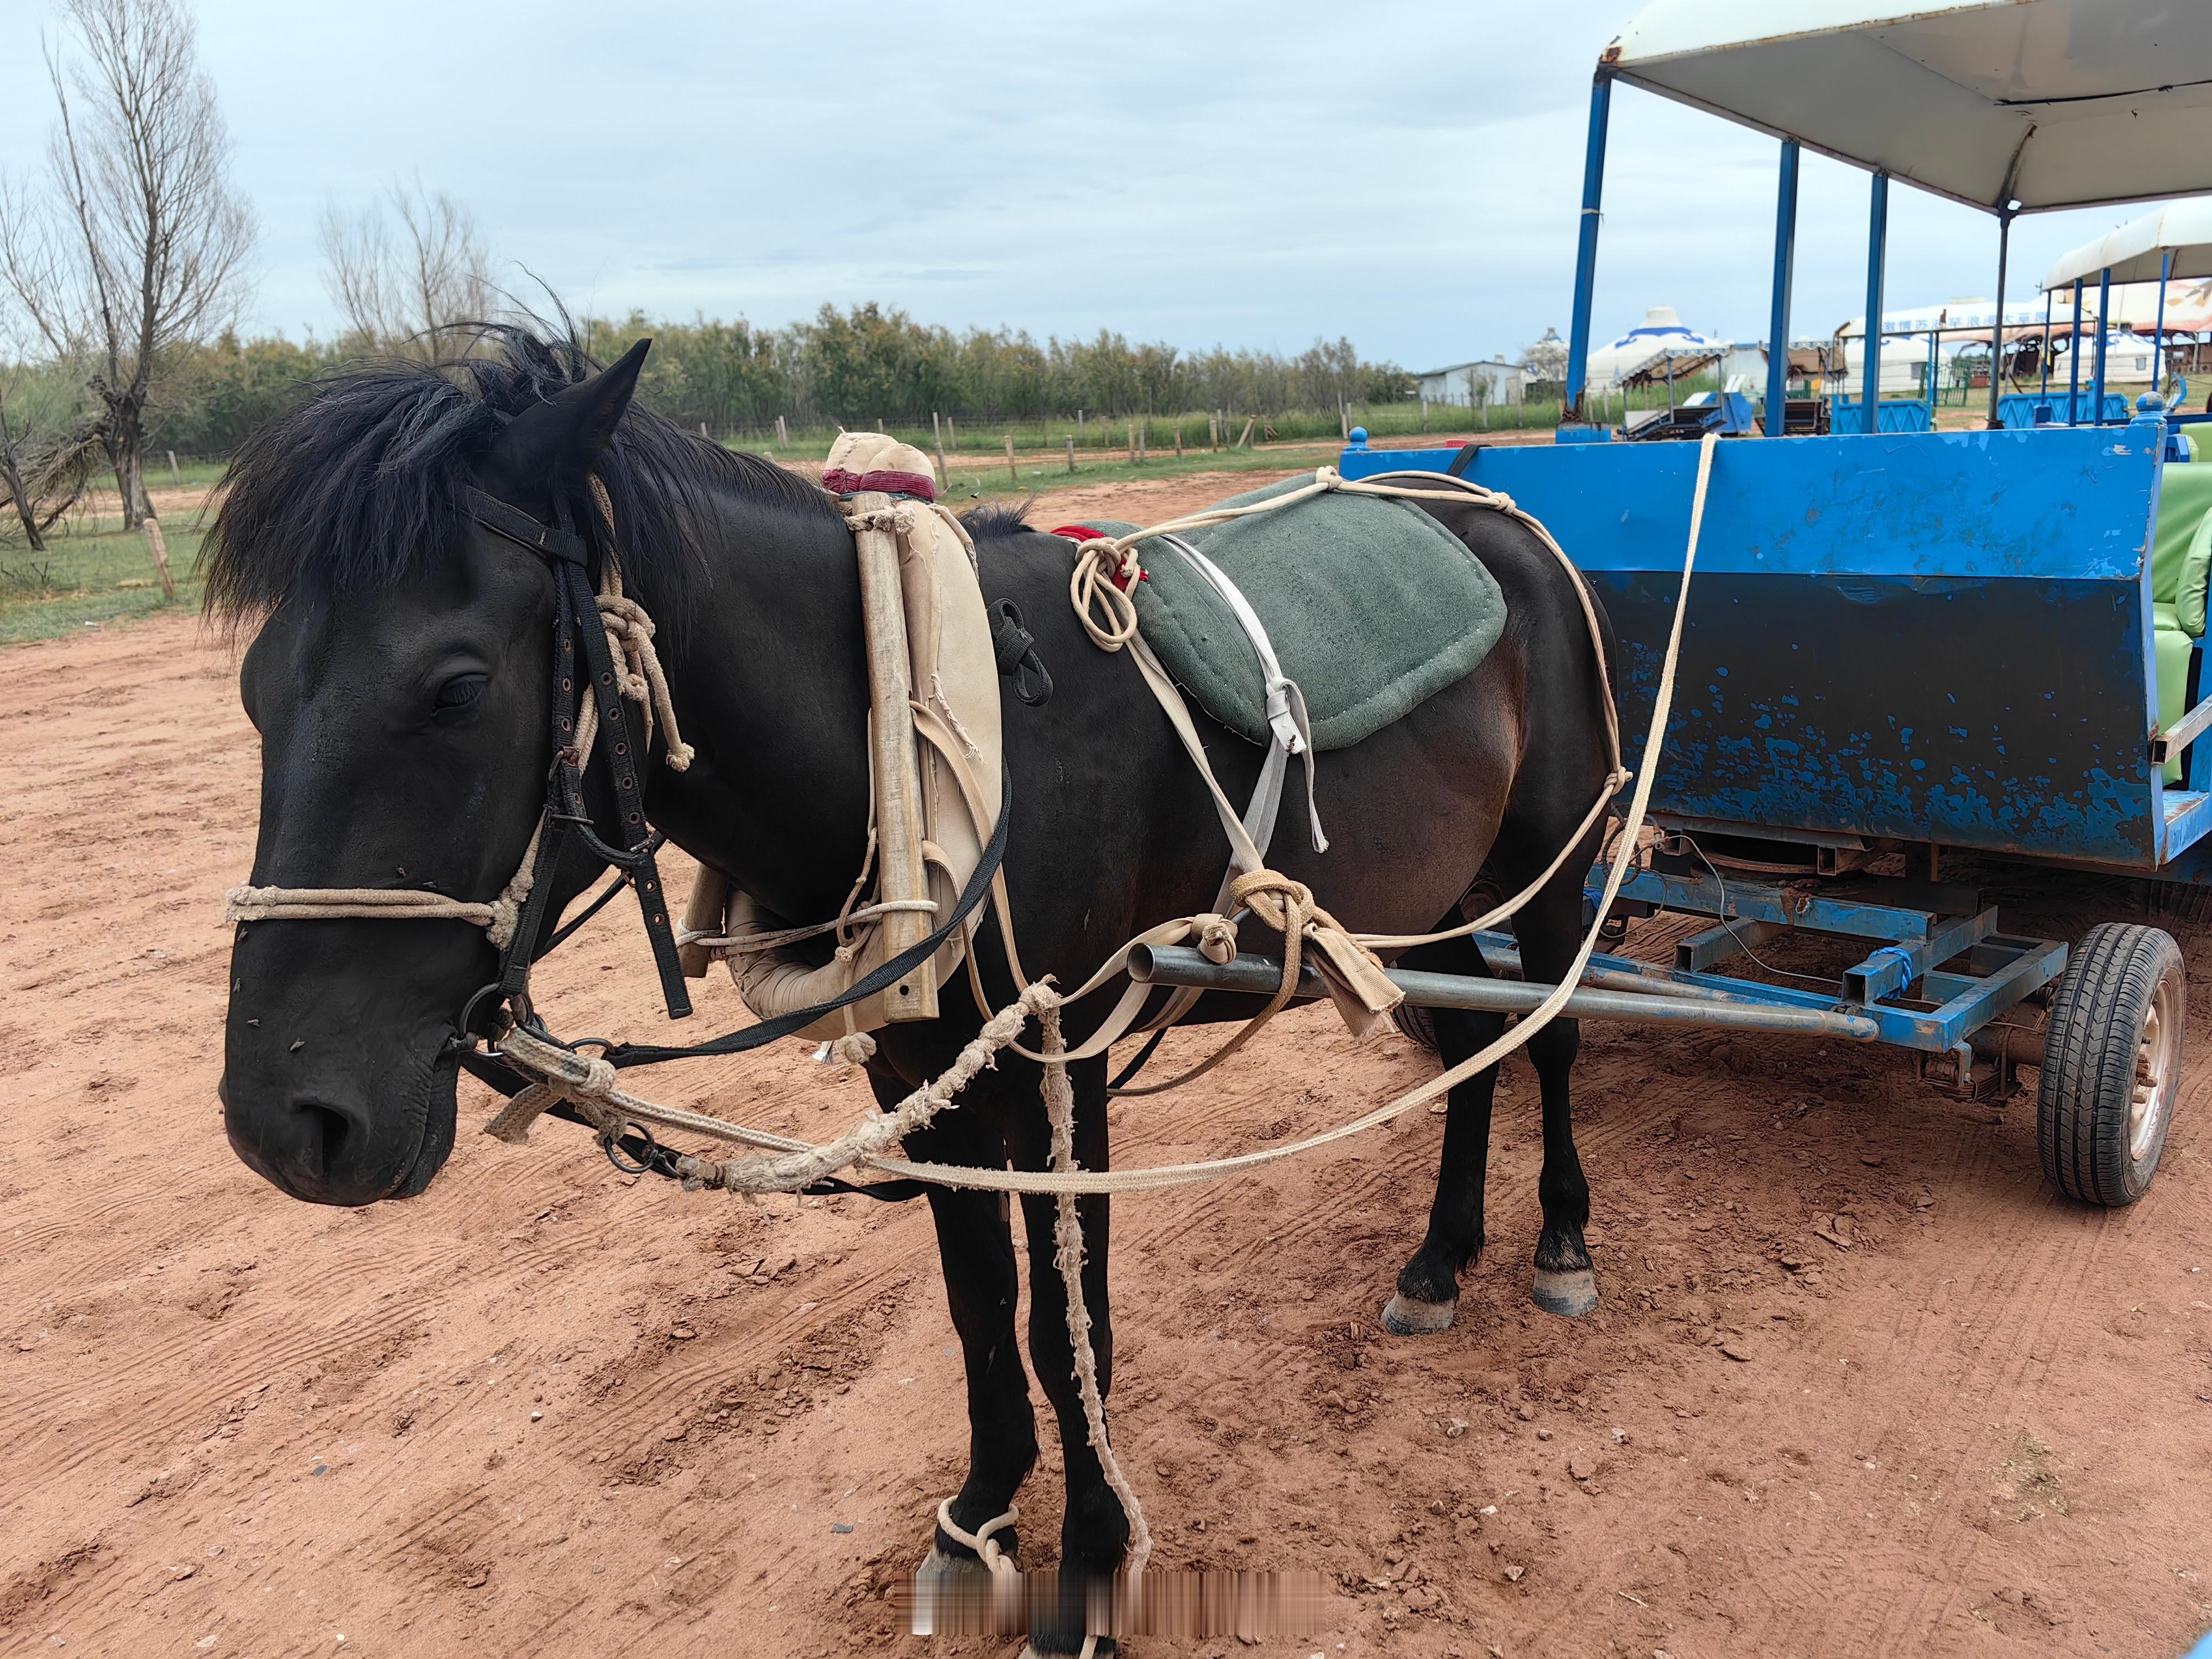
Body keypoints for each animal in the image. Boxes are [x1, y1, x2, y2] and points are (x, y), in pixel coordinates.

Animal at [208, 328, 1619, 1654]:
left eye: (456, 688)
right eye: (254, 688)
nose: (286, 1122)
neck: (918, 723)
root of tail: (1485, 501)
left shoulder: (1061, 1067)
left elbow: (1068, 1327)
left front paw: (1088, 1570)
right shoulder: (925, 1074)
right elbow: (976, 1304)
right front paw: (981, 1511)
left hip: (1544, 878)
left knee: (1546, 1041)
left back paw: (1557, 1242)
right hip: (1440, 901)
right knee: (1471, 1047)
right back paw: (1437, 1258)